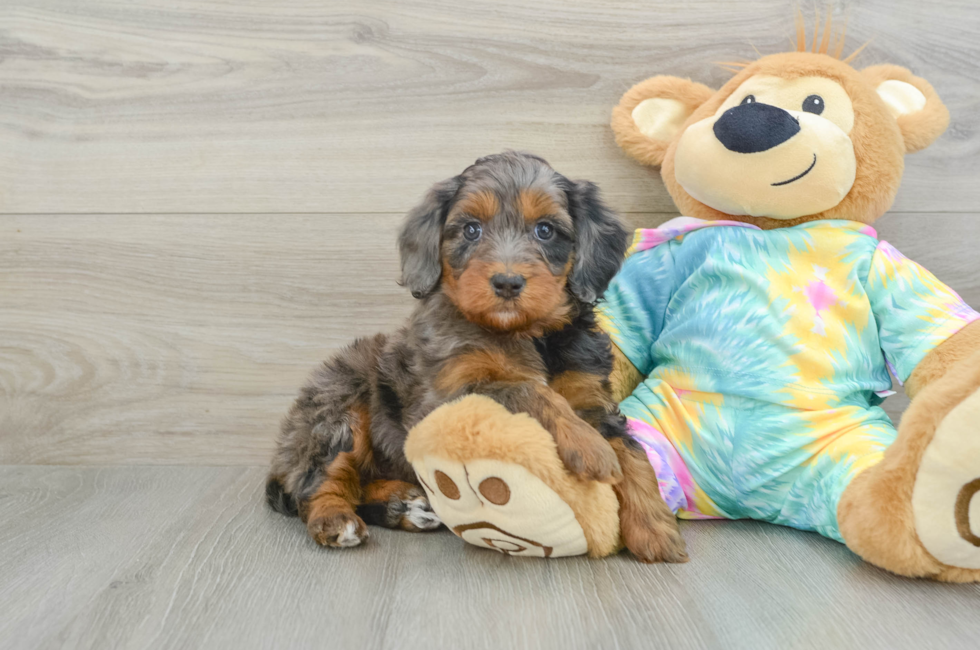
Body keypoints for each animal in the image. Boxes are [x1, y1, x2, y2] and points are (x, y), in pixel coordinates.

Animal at [264, 152, 684, 560]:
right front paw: (591, 448)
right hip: (339, 412)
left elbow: (631, 452)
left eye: (545, 230)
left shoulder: (592, 395)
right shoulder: (449, 395)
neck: (525, 334)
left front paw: (655, 528)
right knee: (319, 482)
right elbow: (526, 390)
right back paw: (335, 518)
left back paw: (405, 505)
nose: (507, 283)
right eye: (471, 230)